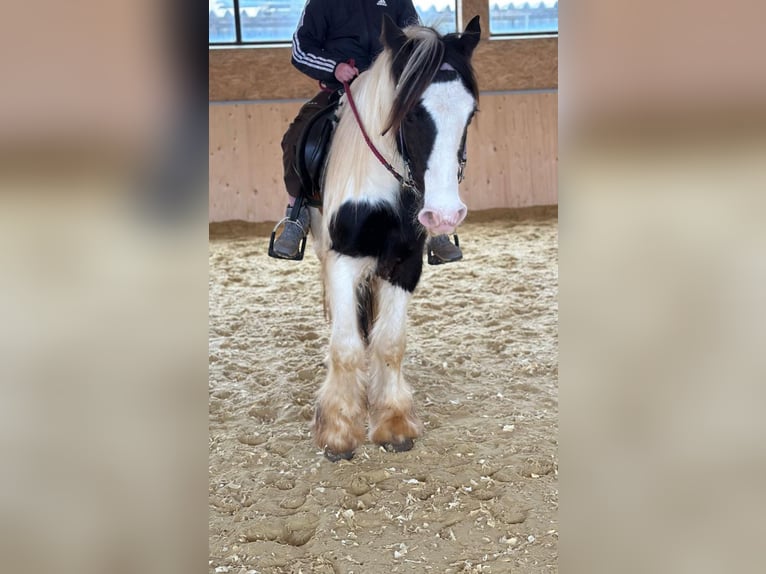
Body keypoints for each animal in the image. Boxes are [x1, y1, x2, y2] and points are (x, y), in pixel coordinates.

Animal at [306, 14, 480, 464]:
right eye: (413, 112)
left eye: (470, 113)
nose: (444, 214)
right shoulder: (342, 261)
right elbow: (346, 346)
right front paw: (338, 431)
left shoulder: (404, 264)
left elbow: (389, 342)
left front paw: (394, 422)